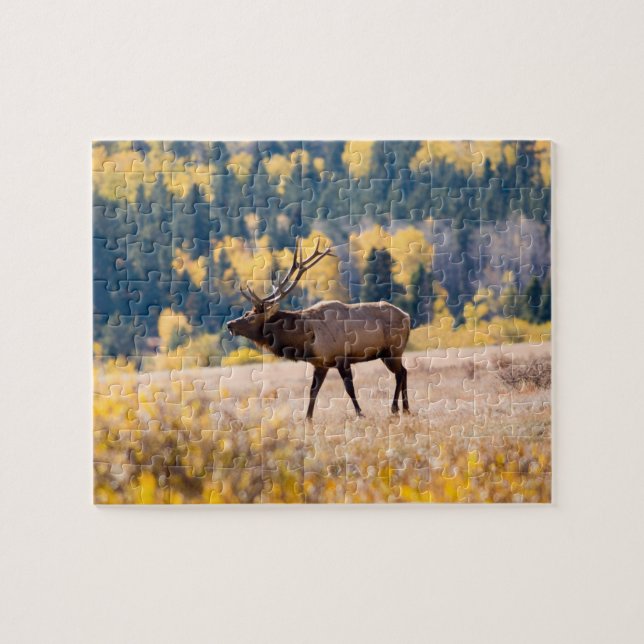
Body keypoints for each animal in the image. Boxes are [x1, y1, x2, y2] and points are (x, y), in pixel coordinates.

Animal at [226, 237, 411, 420]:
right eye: (247, 312)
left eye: (251, 317)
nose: (230, 324)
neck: (305, 340)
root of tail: (407, 316)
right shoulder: (320, 364)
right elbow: (312, 391)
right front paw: (308, 418)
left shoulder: (341, 358)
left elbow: (349, 388)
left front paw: (360, 413)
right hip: (388, 353)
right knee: (404, 371)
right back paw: (406, 409)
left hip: (393, 350)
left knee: (399, 373)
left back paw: (395, 408)